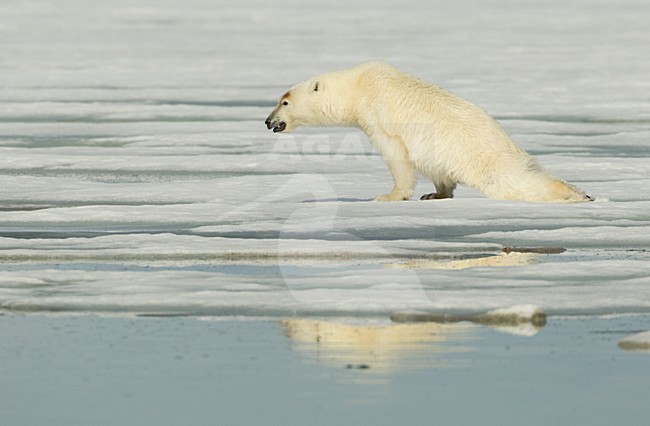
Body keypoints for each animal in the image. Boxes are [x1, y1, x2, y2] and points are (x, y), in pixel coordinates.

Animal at [265, 61, 592, 203]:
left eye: (284, 101)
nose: (268, 121)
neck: (358, 86)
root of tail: (514, 149)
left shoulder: (378, 114)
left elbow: (396, 156)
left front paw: (388, 196)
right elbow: (435, 169)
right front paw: (435, 193)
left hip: (485, 161)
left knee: (513, 184)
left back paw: (575, 194)